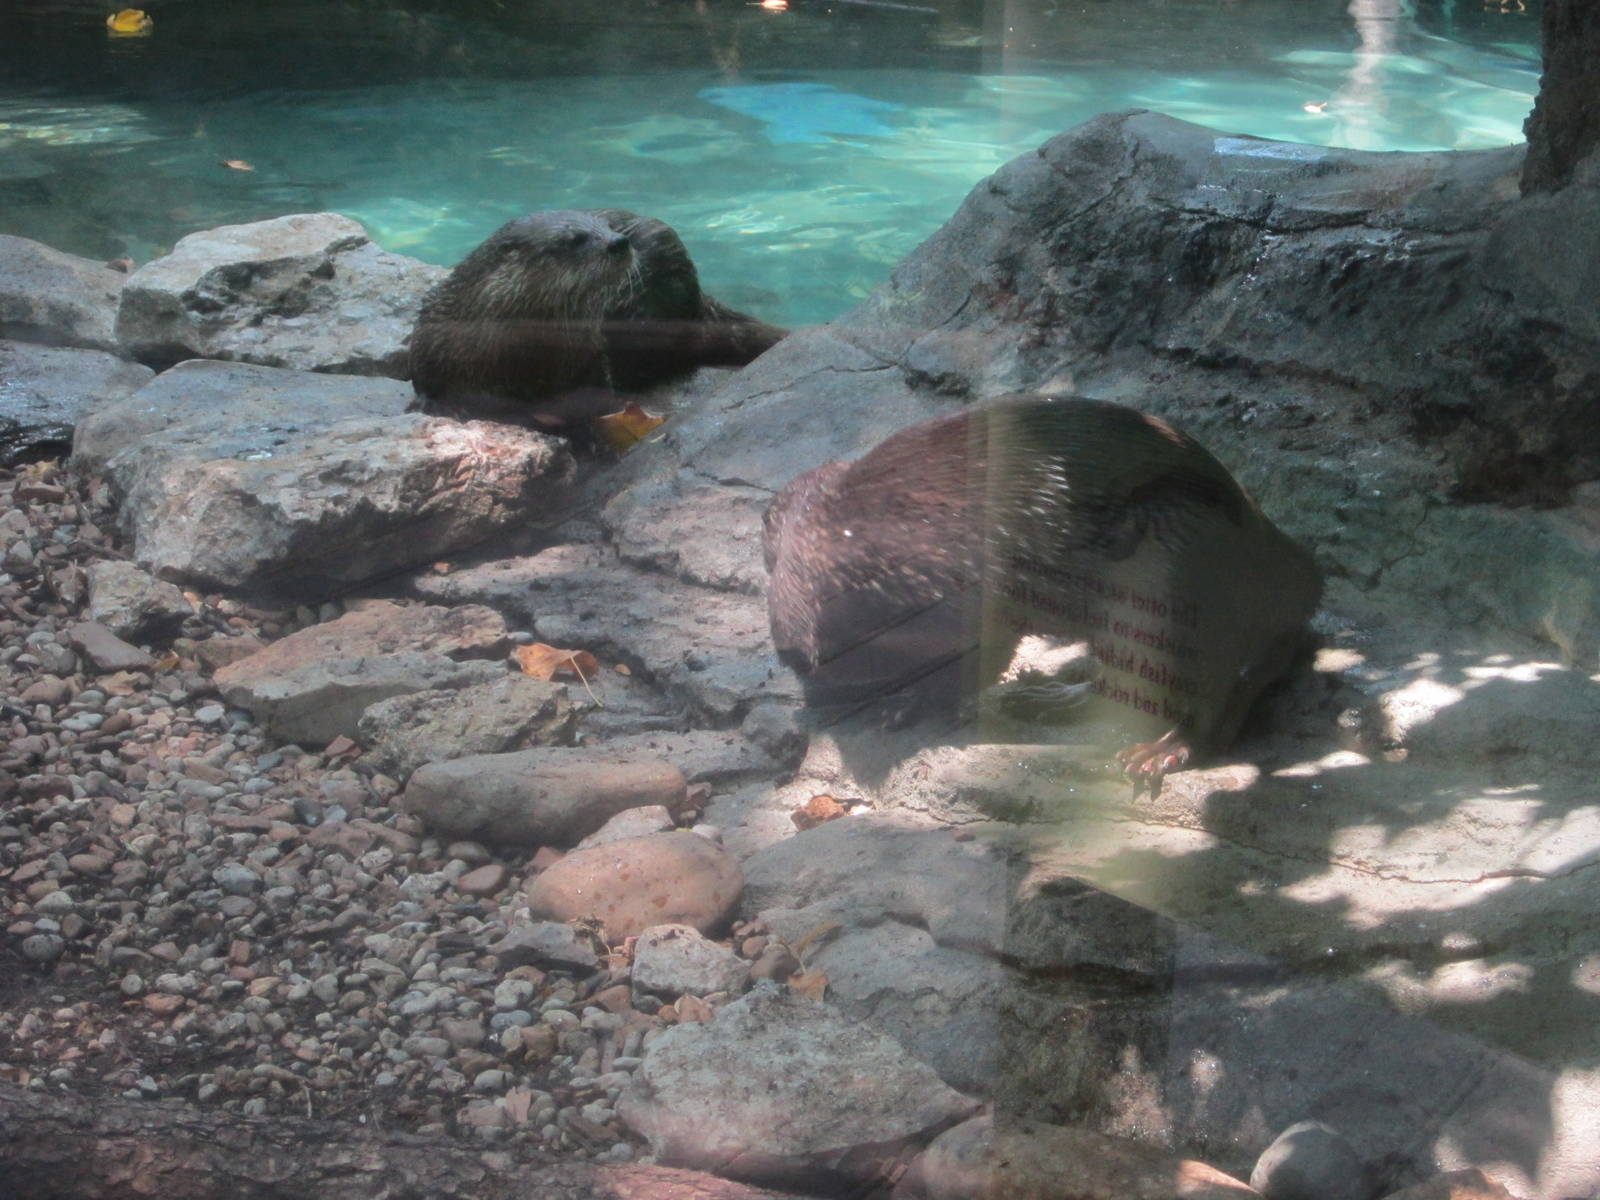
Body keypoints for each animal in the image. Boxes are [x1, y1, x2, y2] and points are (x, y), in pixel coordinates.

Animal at [410, 208, 787, 431]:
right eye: (575, 239)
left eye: (605, 227)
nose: (621, 241)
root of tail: (699, 297)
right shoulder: (434, 322)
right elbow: (423, 375)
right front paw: (439, 404)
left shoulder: (589, 359)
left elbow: (596, 403)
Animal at [762, 395, 1323, 790]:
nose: (814, 702)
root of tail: (1297, 572)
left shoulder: (966, 591)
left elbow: (977, 658)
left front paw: (906, 703)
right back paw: (1043, 697)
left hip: (1179, 563)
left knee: (1215, 700)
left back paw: (1158, 752)